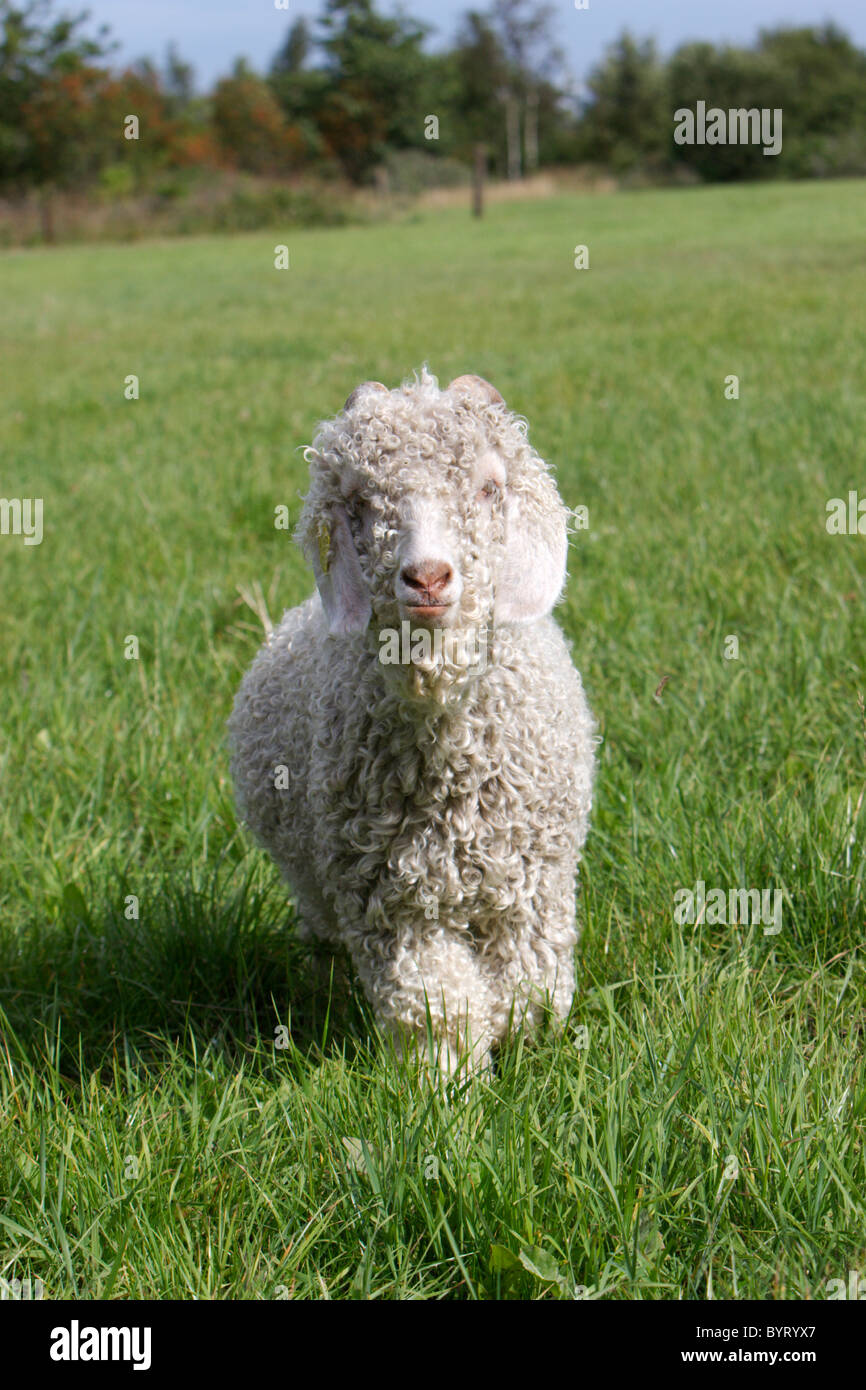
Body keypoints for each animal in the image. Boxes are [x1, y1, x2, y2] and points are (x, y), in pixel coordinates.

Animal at [229, 369, 594, 1073]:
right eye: (360, 502)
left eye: (489, 487)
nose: (427, 578)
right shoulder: (388, 896)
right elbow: (438, 1003)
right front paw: (447, 1081)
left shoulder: (534, 887)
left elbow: (528, 987)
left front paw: (514, 1040)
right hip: (310, 879)